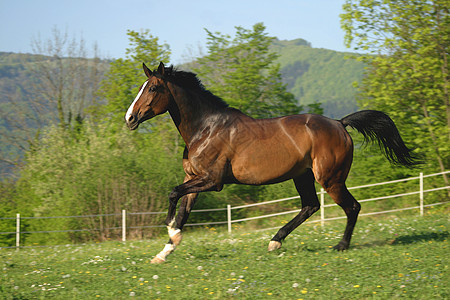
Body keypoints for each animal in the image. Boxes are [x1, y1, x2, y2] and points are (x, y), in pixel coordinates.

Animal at [125, 62, 416, 264]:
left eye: (153, 88)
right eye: (141, 87)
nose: (130, 118)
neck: (205, 128)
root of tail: (340, 123)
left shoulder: (212, 181)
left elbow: (173, 195)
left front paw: (170, 228)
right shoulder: (193, 179)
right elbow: (183, 211)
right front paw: (164, 252)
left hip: (330, 179)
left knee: (352, 207)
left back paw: (340, 246)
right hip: (303, 175)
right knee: (310, 206)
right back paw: (275, 242)